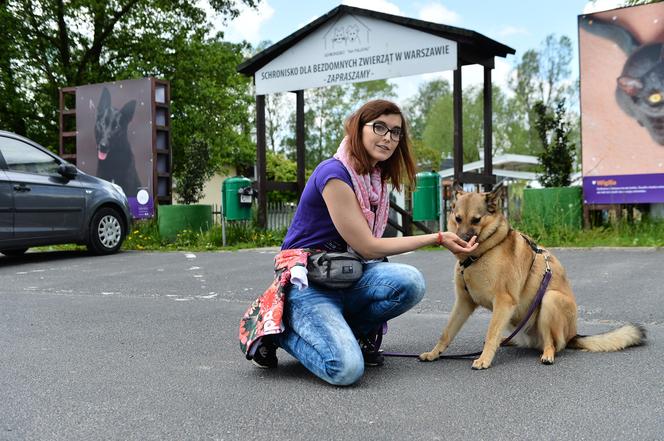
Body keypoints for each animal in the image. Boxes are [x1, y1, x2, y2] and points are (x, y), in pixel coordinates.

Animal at [420, 186, 644, 368]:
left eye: (476, 220)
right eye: (458, 219)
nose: (462, 241)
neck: (484, 251)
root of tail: (573, 335)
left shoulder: (503, 301)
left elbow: (491, 333)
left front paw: (484, 359)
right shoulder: (464, 303)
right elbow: (446, 333)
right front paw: (434, 353)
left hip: (549, 300)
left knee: (551, 343)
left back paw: (547, 354)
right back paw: (508, 341)